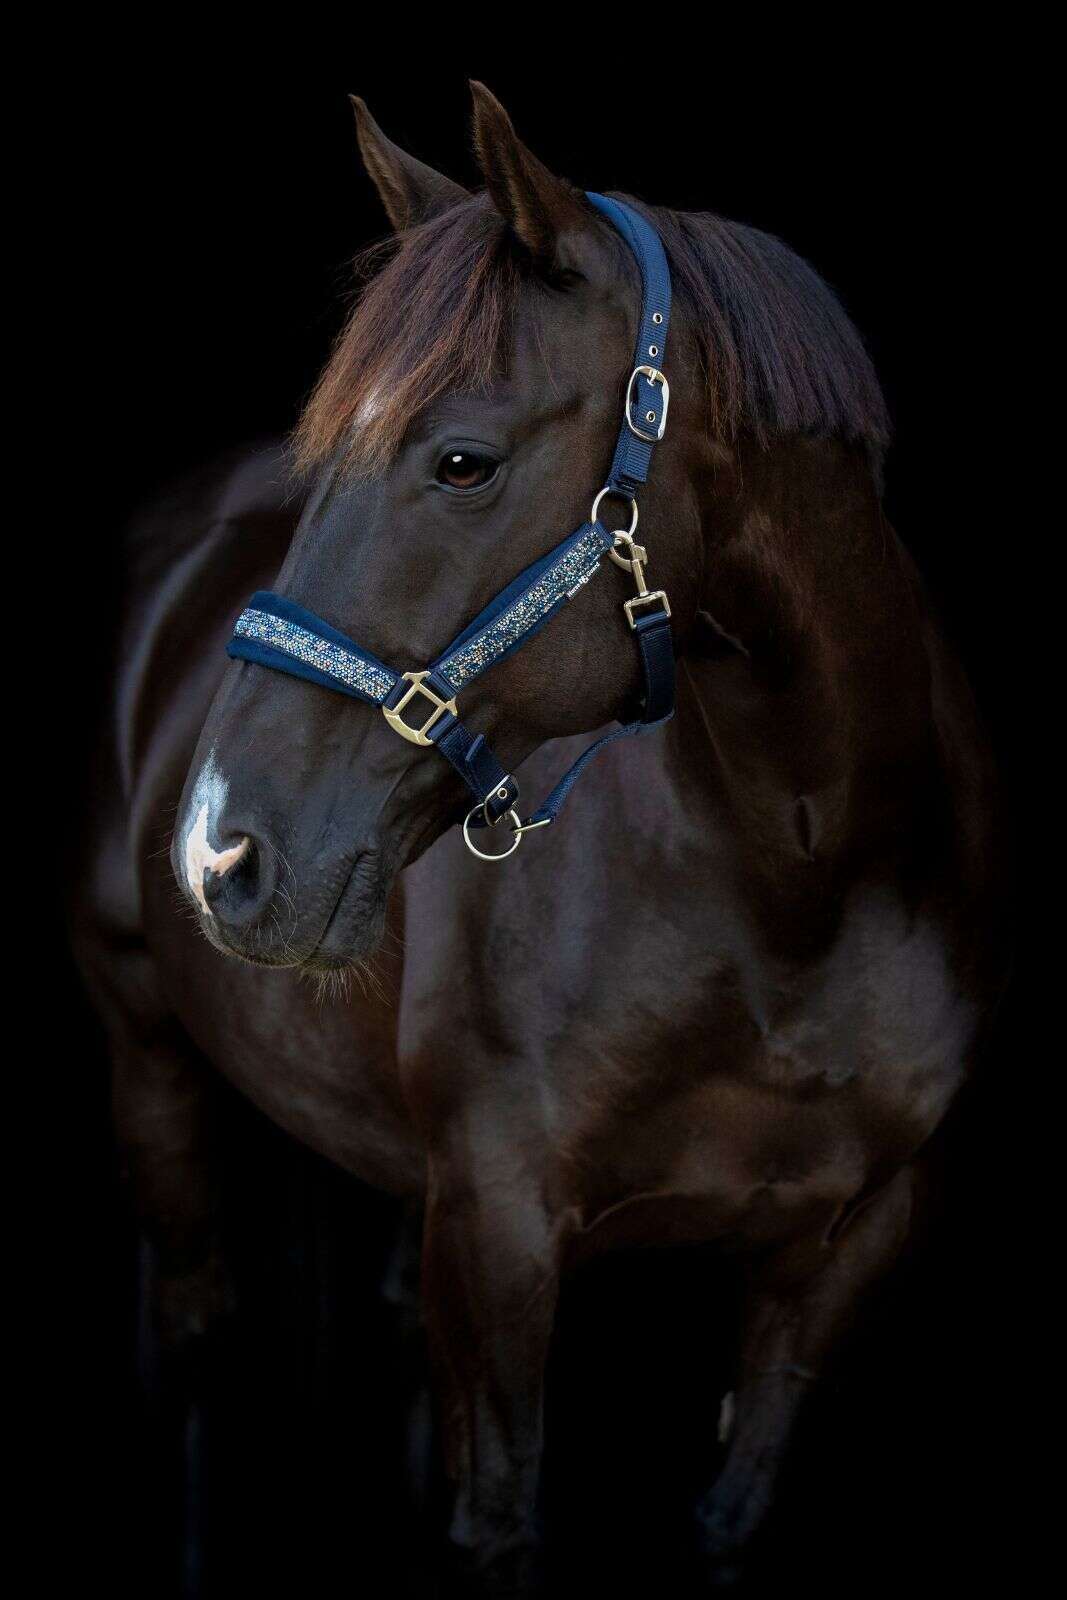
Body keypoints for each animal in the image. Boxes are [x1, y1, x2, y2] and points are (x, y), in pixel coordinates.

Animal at [71, 82, 1009, 1595]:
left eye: (461, 462)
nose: (220, 854)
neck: (796, 883)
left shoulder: (843, 1248)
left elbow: (725, 1512)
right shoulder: (499, 1225)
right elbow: (498, 1516)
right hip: (148, 1052)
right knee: (198, 1346)